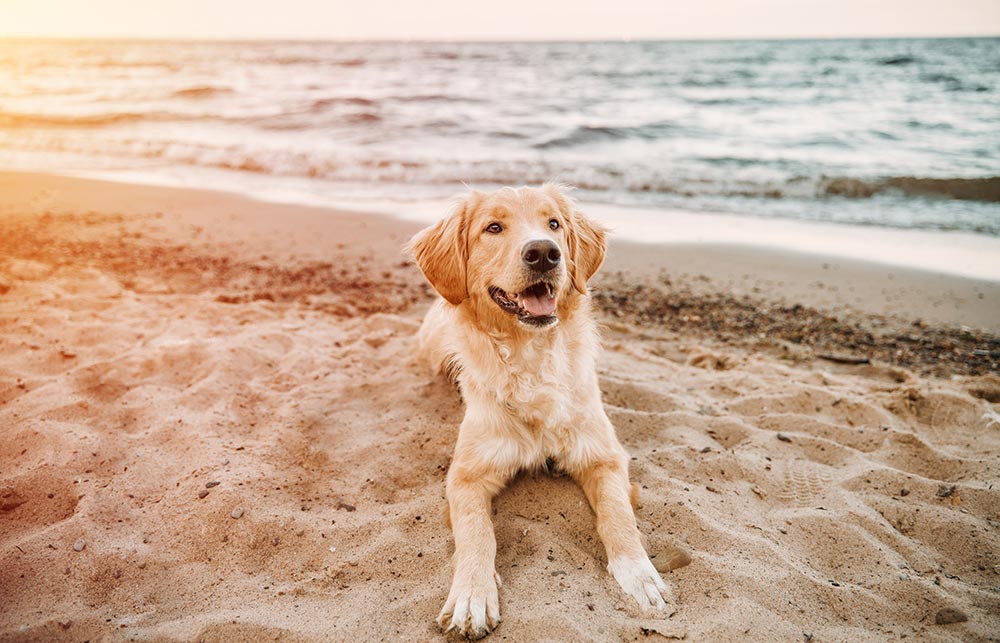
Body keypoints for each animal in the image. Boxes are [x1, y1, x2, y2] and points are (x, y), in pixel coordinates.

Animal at [406, 184, 672, 636]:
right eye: (493, 228)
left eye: (554, 224)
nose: (545, 253)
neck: (531, 357)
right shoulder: (466, 476)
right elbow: (477, 532)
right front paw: (472, 594)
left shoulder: (604, 456)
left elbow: (618, 516)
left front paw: (640, 575)